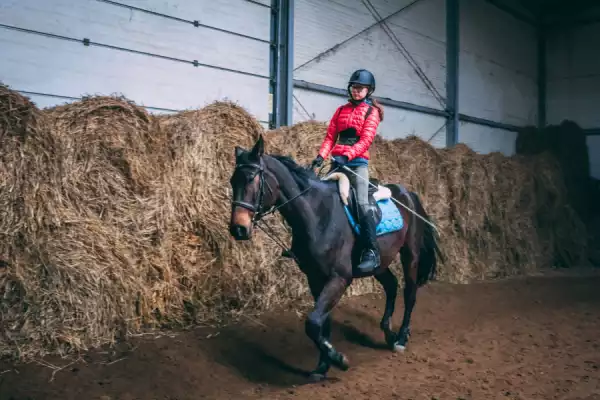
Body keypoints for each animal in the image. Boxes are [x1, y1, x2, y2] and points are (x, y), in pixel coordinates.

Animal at [229, 135, 440, 382]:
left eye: (252, 178)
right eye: (232, 181)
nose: (238, 229)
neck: (317, 215)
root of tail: (407, 193)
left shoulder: (339, 278)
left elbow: (312, 323)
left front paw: (338, 359)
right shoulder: (315, 278)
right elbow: (322, 323)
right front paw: (322, 366)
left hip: (410, 255)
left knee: (410, 293)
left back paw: (401, 339)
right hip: (379, 263)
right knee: (391, 285)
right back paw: (388, 332)